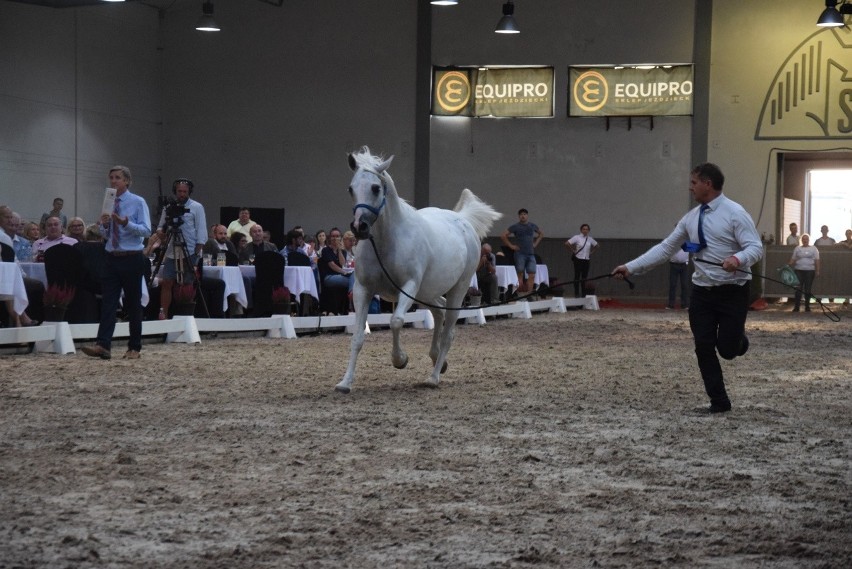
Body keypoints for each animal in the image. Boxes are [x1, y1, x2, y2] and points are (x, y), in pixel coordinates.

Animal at [336, 146, 502, 392]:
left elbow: (396, 321)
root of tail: (462, 219)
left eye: (376, 188)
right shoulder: (362, 289)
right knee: (439, 311)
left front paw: (400, 360)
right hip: (428, 292)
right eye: (351, 188)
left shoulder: (409, 286)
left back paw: (433, 377)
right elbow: (357, 337)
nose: (359, 227)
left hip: (458, 289)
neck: (388, 241)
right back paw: (437, 361)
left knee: (448, 331)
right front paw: (345, 383)